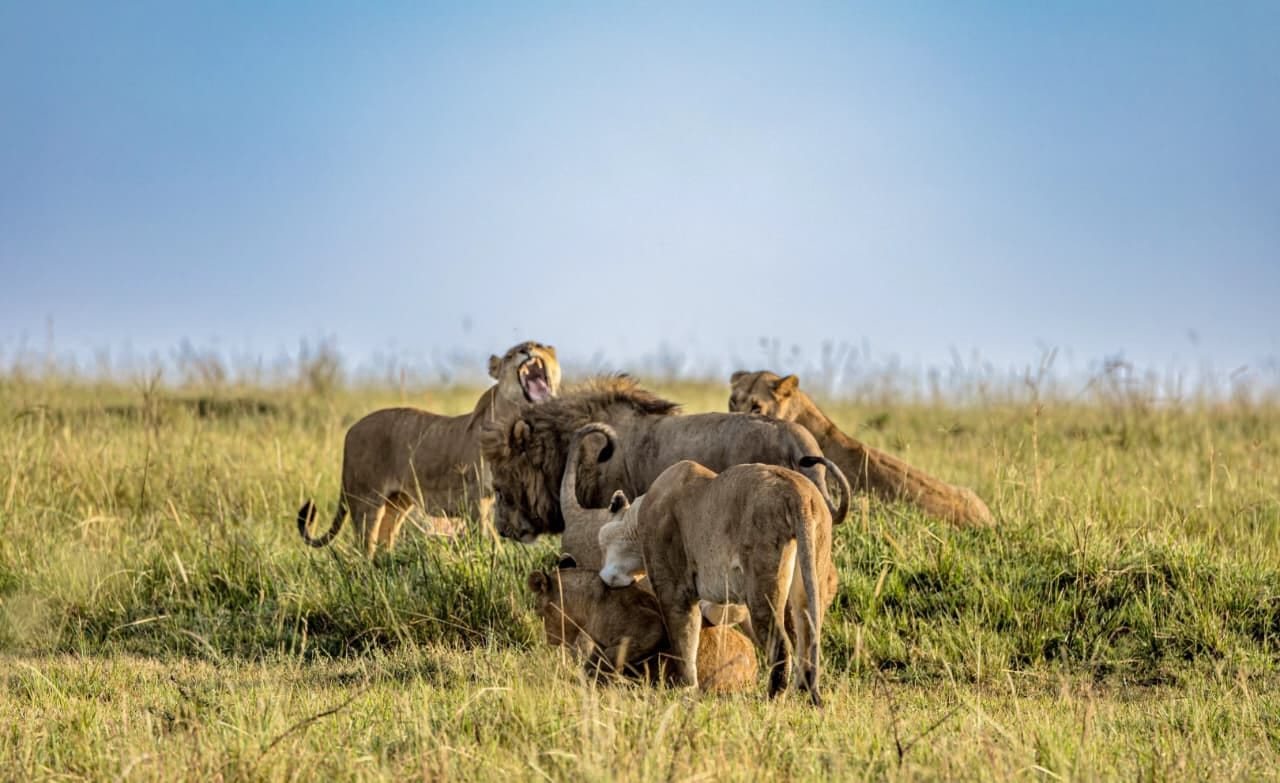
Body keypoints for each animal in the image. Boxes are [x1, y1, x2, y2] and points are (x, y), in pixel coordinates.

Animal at [296, 341, 561, 557]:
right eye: (510, 355)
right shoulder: (476, 496)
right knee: (365, 545)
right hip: (366, 501)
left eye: (538, 344)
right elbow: (488, 538)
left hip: (397, 503)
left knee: (385, 540)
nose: (526, 350)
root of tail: (349, 432)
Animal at [597, 460, 838, 706]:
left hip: (763, 584)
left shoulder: (674, 589)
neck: (636, 521)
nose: (604, 576)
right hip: (811, 574)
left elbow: (684, 640)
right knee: (808, 634)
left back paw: (772, 698)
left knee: (780, 643)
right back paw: (803, 693)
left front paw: (685, 689)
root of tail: (799, 492)